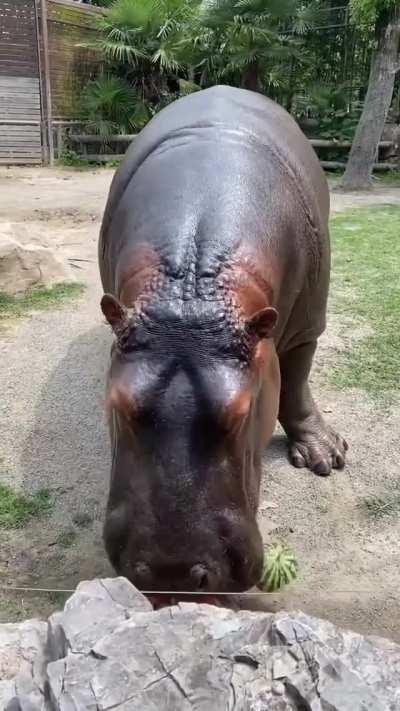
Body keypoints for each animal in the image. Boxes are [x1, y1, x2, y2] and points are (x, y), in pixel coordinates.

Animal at [98, 85, 347, 595]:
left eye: (242, 412)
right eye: (117, 402)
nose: (172, 574)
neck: (191, 288)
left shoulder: (307, 325)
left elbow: (296, 382)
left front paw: (324, 458)